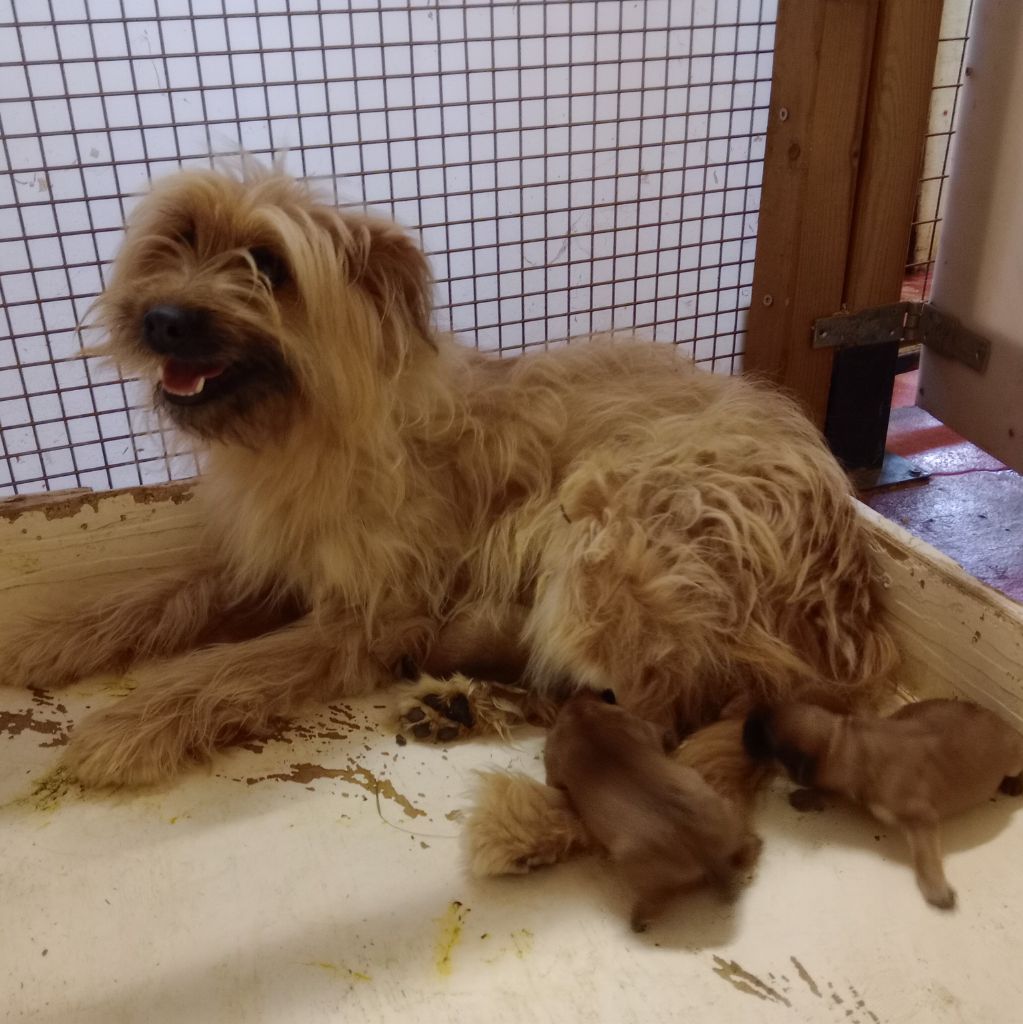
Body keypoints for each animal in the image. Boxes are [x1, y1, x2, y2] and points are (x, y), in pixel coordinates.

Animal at [0, 167, 897, 786]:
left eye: (267, 264)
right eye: (178, 238)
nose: (161, 320)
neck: (312, 426)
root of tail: (849, 637)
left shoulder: (363, 617)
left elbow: (224, 668)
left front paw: (129, 725)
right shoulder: (261, 566)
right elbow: (147, 596)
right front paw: (45, 638)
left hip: (607, 542)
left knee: (653, 722)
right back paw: (462, 701)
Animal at [544, 688, 761, 929]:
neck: (582, 714)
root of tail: (706, 855)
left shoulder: (553, 767)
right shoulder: (648, 728)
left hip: (633, 868)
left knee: (655, 900)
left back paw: (640, 919)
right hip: (722, 808)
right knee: (749, 845)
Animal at [745, 700, 1023, 909]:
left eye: (765, 740)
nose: (744, 724)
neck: (848, 745)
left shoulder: (921, 819)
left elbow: (925, 857)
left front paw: (936, 889)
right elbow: (832, 792)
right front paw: (810, 796)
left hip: (1012, 761)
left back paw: (1014, 784)